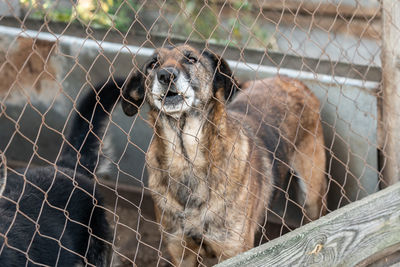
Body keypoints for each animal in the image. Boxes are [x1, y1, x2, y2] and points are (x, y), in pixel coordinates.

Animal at [120, 45, 326, 266]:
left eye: (191, 59)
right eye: (152, 64)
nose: (166, 75)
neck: (187, 159)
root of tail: (290, 79)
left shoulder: (235, 252)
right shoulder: (181, 252)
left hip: (311, 195)